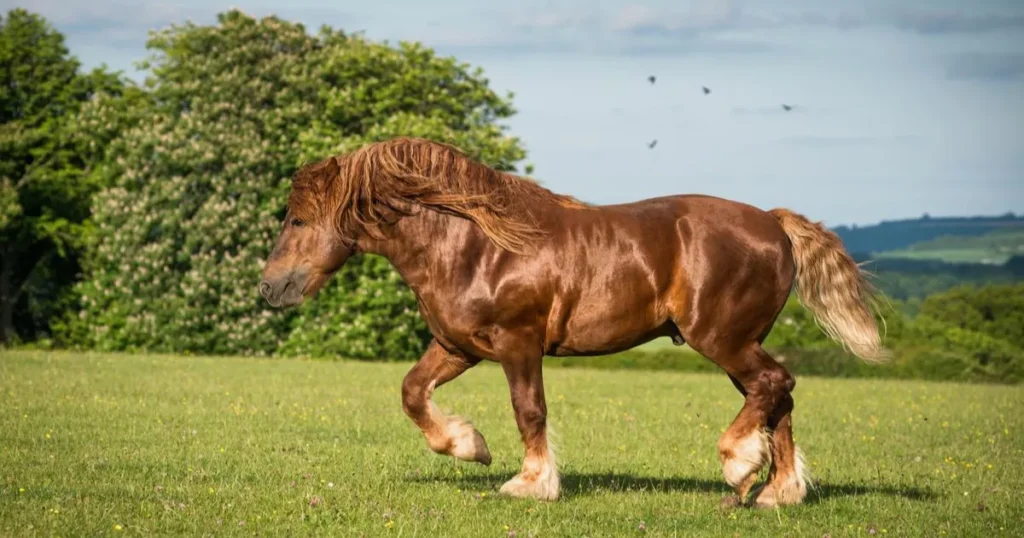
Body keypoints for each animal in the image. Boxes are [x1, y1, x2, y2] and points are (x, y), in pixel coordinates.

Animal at [262, 136, 888, 506]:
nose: (270, 288)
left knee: (776, 385)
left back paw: (740, 467)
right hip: (739, 343)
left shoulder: (518, 344)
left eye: (297, 220)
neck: (474, 244)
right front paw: (469, 445)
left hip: (723, 339)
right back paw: (776, 492)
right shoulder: (458, 346)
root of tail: (774, 223)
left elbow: (530, 411)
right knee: (777, 397)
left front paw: (530, 483)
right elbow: (413, 392)